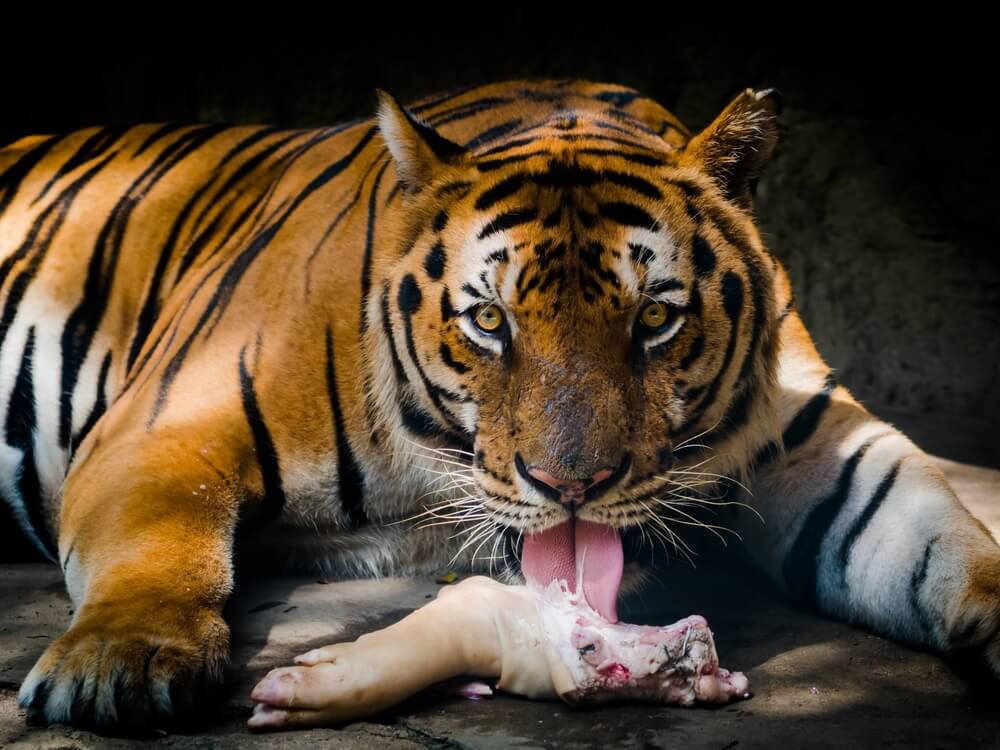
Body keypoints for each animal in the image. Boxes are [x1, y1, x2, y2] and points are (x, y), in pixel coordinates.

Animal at [1, 79, 997, 734]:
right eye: (490, 320)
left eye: (654, 318)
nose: (571, 485)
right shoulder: (164, 421)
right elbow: (161, 537)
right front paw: (119, 662)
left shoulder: (818, 441)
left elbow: (937, 538)